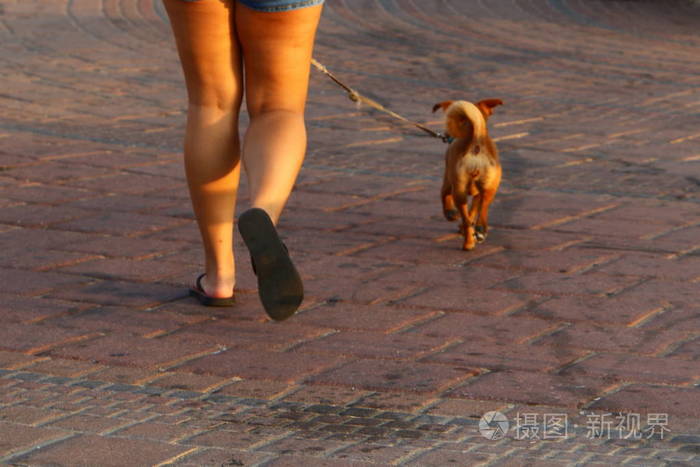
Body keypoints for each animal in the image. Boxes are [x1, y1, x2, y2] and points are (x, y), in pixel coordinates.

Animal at [432, 99, 504, 252]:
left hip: (458, 190)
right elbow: (473, 212)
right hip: (489, 189)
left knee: (465, 217)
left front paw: (450, 213)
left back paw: (468, 243)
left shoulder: (448, 181)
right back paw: (479, 231)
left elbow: (444, 195)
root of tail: (475, 140)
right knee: (482, 210)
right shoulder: (477, 194)